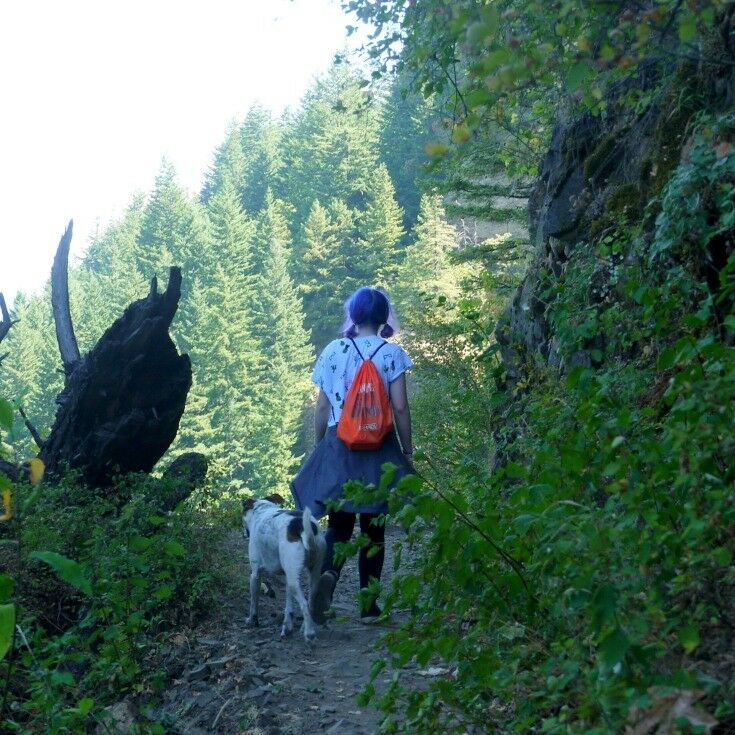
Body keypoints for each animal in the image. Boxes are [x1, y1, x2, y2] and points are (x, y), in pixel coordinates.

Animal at [243, 494, 326, 644]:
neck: (262, 510)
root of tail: (300, 526)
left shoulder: (255, 574)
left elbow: (254, 602)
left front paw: (252, 620)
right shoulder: (288, 574)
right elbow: (289, 606)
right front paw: (287, 626)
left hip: (294, 579)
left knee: (304, 604)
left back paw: (309, 633)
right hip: (313, 574)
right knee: (310, 601)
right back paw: (304, 626)